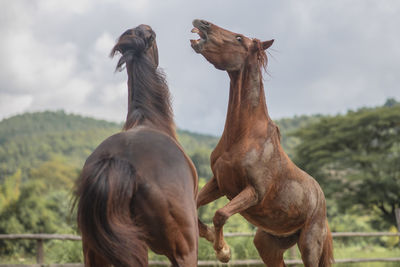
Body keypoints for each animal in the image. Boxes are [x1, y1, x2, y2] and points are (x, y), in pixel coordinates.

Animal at [191, 19, 334, 267]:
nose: (202, 23)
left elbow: (220, 215)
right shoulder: (219, 183)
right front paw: (215, 242)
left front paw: (223, 251)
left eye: (239, 38)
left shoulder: (253, 192)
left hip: (309, 245)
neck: (244, 137)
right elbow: (195, 207)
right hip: (268, 245)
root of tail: (322, 206)